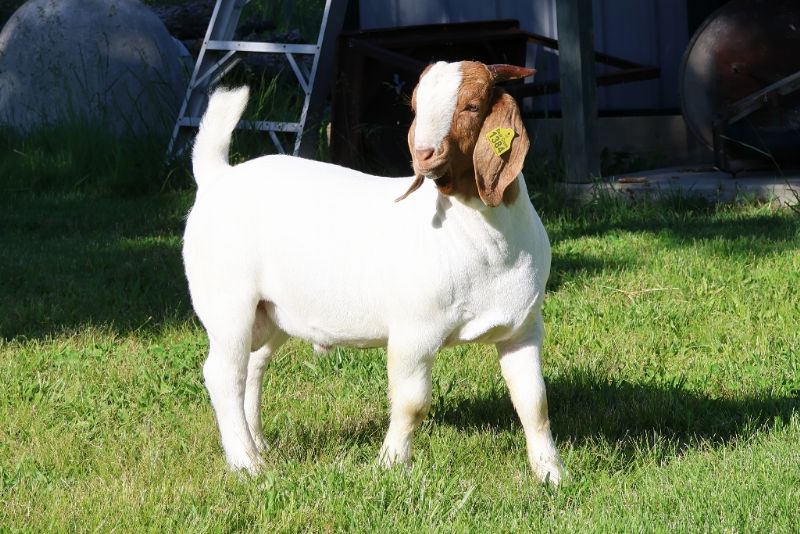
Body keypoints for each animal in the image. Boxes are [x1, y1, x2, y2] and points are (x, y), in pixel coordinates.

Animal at [183, 60, 566, 485]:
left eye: (472, 105)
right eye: (415, 106)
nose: (424, 154)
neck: (484, 241)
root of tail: (218, 177)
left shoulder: (523, 330)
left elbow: (534, 402)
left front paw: (552, 474)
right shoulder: (415, 330)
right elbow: (412, 403)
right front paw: (392, 464)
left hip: (270, 311)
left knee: (252, 368)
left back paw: (259, 446)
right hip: (227, 301)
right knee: (223, 374)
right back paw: (247, 464)